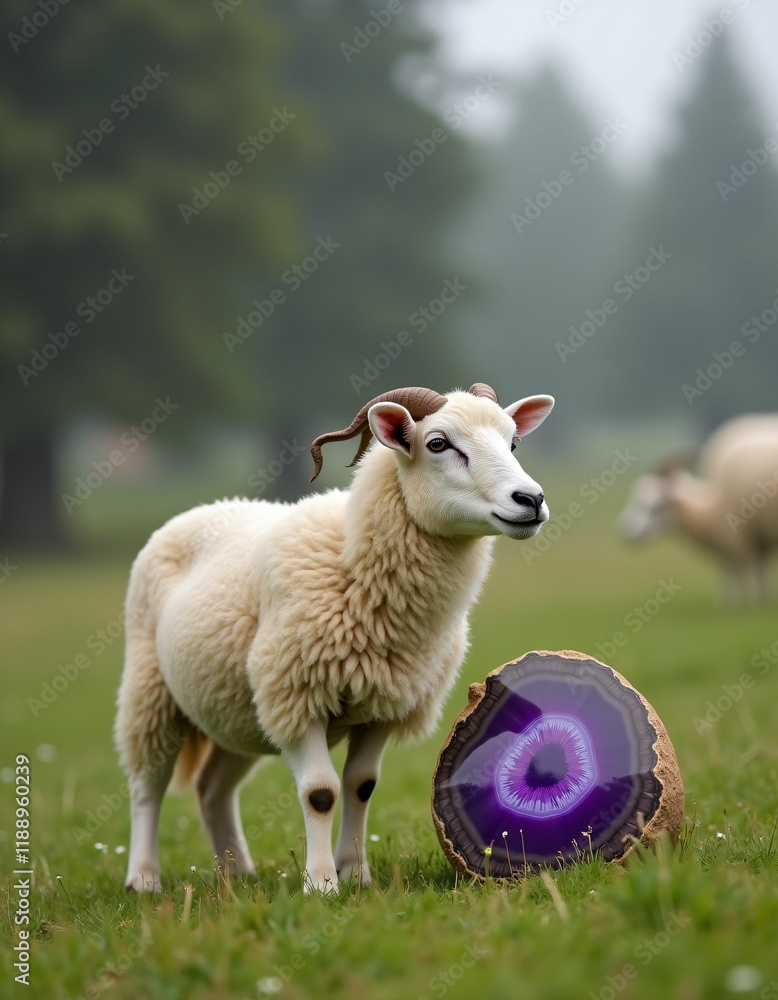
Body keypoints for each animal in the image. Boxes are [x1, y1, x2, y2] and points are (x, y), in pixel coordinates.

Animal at [114, 383, 555, 892]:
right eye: (438, 444)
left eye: (513, 443)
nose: (531, 499)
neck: (352, 562)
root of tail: (203, 508)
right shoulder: (296, 695)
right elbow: (320, 792)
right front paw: (321, 884)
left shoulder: (385, 705)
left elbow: (360, 784)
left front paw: (356, 874)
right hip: (151, 689)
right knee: (147, 784)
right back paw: (143, 878)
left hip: (236, 708)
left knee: (212, 788)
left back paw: (238, 873)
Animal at [618, 414, 778, 605]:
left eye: (656, 506)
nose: (625, 532)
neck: (710, 507)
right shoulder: (755, 542)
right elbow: (751, 576)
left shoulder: (740, 539)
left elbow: (741, 576)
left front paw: (746, 605)